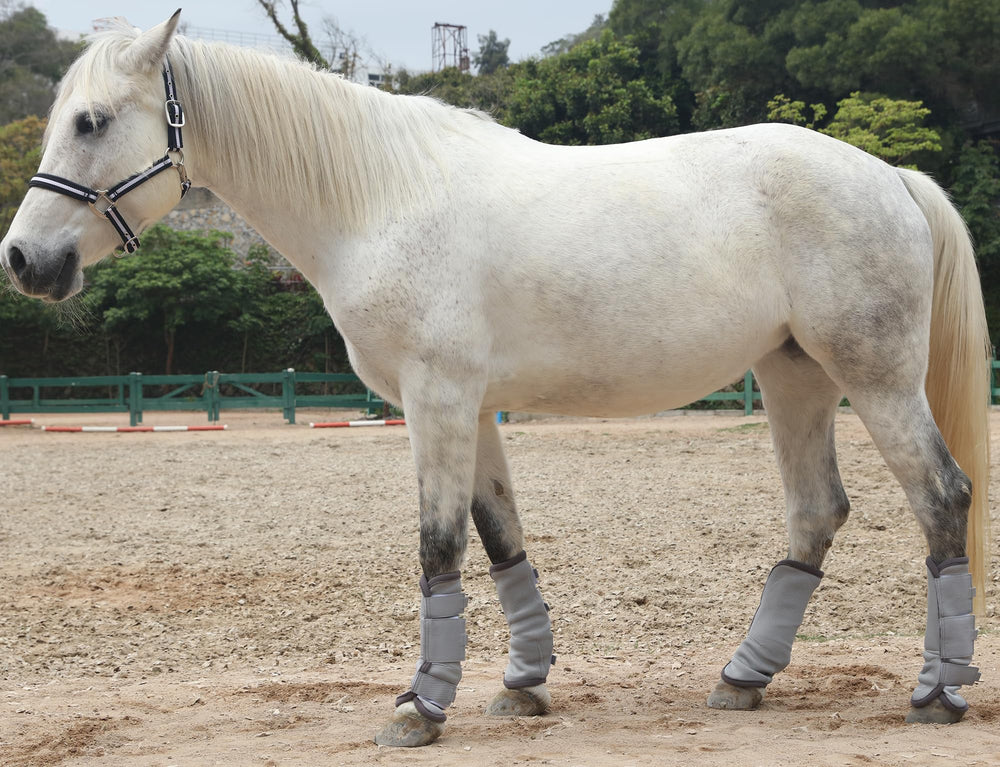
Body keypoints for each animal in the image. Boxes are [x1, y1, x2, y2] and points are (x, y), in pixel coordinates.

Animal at [1, 13, 990, 747]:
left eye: (92, 121)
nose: (25, 260)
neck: (379, 199)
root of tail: (888, 175)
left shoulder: (436, 401)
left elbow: (438, 544)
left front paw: (420, 705)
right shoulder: (471, 410)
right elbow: (500, 535)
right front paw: (521, 684)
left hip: (875, 378)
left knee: (942, 497)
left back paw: (937, 692)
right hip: (795, 378)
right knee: (817, 512)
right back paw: (742, 677)